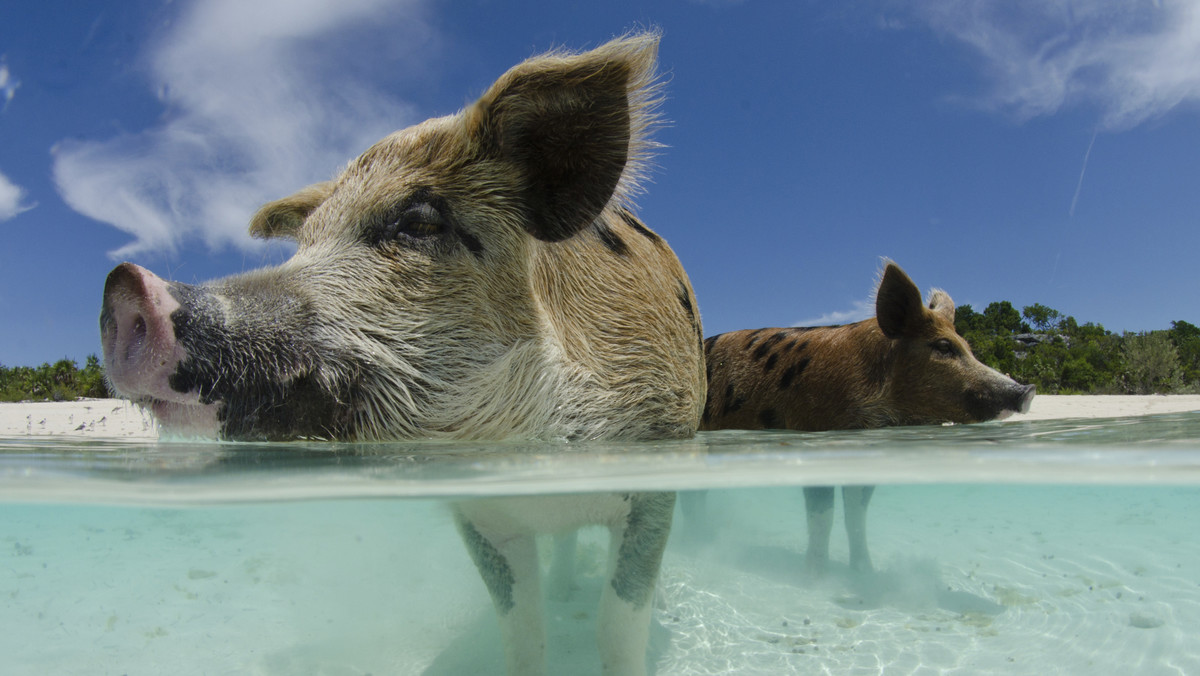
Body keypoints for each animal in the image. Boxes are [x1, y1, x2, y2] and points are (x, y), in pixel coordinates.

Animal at [103, 33, 705, 676]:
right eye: (305, 243)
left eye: (417, 222)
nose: (125, 285)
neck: (524, 446)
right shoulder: (478, 519)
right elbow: (522, 631)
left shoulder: (659, 469)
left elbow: (618, 625)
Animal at [700, 264, 1032, 576]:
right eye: (943, 346)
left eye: (968, 348)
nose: (1026, 391)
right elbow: (823, 516)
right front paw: (814, 577)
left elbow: (855, 515)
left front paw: (864, 574)